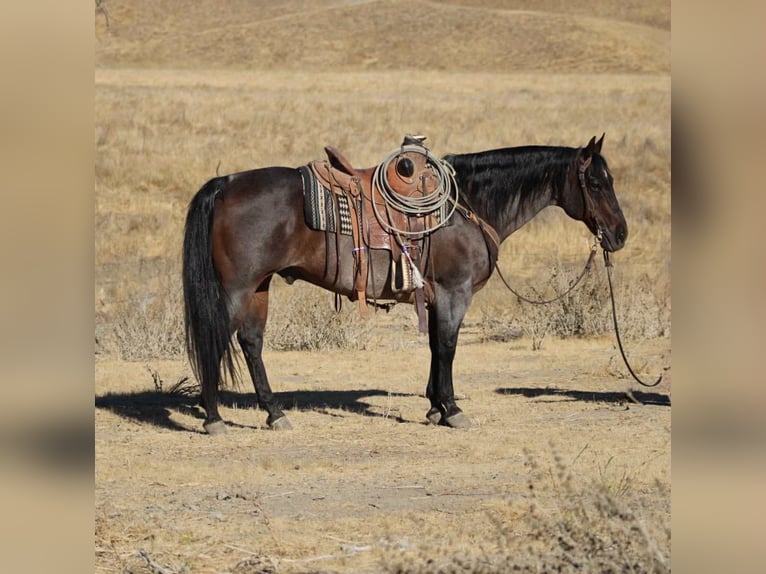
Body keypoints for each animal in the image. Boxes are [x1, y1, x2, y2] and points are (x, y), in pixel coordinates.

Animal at [182, 134, 627, 435]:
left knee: (251, 343)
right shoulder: (454, 292)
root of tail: (225, 183)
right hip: (237, 289)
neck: (466, 205)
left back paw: (275, 414)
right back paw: (214, 418)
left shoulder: (433, 296)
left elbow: (434, 346)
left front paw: (434, 408)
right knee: (216, 340)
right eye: (597, 183)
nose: (620, 235)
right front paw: (452, 409)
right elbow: (448, 347)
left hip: (259, 287)